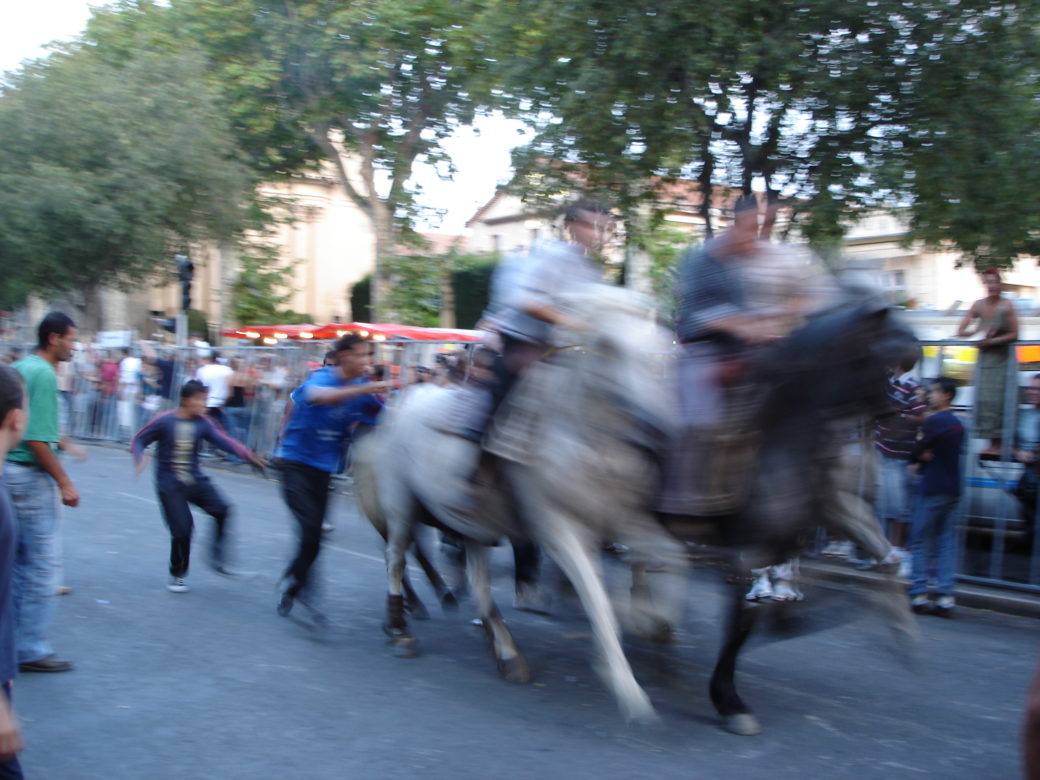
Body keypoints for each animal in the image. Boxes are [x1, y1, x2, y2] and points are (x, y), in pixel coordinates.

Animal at [355, 284, 690, 719]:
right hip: (401, 504)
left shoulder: (623, 520)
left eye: (658, 344)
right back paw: (399, 630)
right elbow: (597, 598)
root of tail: (402, 403)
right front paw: (626, 685)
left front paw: (653, 623)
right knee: (396, 559)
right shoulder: (559, 530)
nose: (659, 426)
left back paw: (506, 651)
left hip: (470, 524)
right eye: (608, 345)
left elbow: (673, 558)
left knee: (477, 581)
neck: (582, 437)